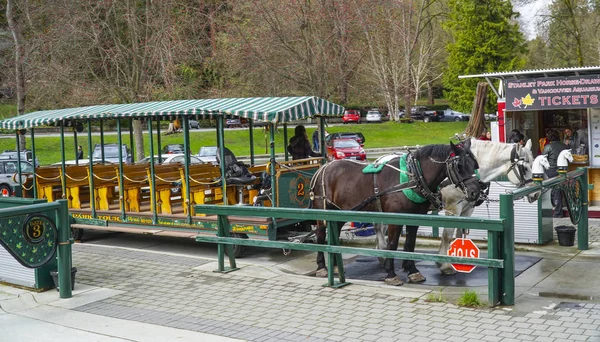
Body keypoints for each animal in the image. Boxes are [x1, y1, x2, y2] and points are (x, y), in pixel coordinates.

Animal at [312, 140, 480, 284]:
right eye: (459, 166)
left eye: (474, 164)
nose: (475, 192)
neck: (412, 177)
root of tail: (323, 168)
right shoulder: (395, 219)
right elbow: (392, 244)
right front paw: (391, 274)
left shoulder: (415, 217)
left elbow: (410, 243)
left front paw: (413, 271)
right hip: (323, 210)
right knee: (320, 235)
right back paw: (322, 267)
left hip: (340, 212)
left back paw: (334, 265)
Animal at [372, 138, 536, 276]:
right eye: (524, 167)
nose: (535, 193)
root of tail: (379, 160)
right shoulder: (452, 208)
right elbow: (447, 234)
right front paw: (444, 265)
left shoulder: (467, 208)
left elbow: (460, 231)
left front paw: (459, 259)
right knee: (379, 227)